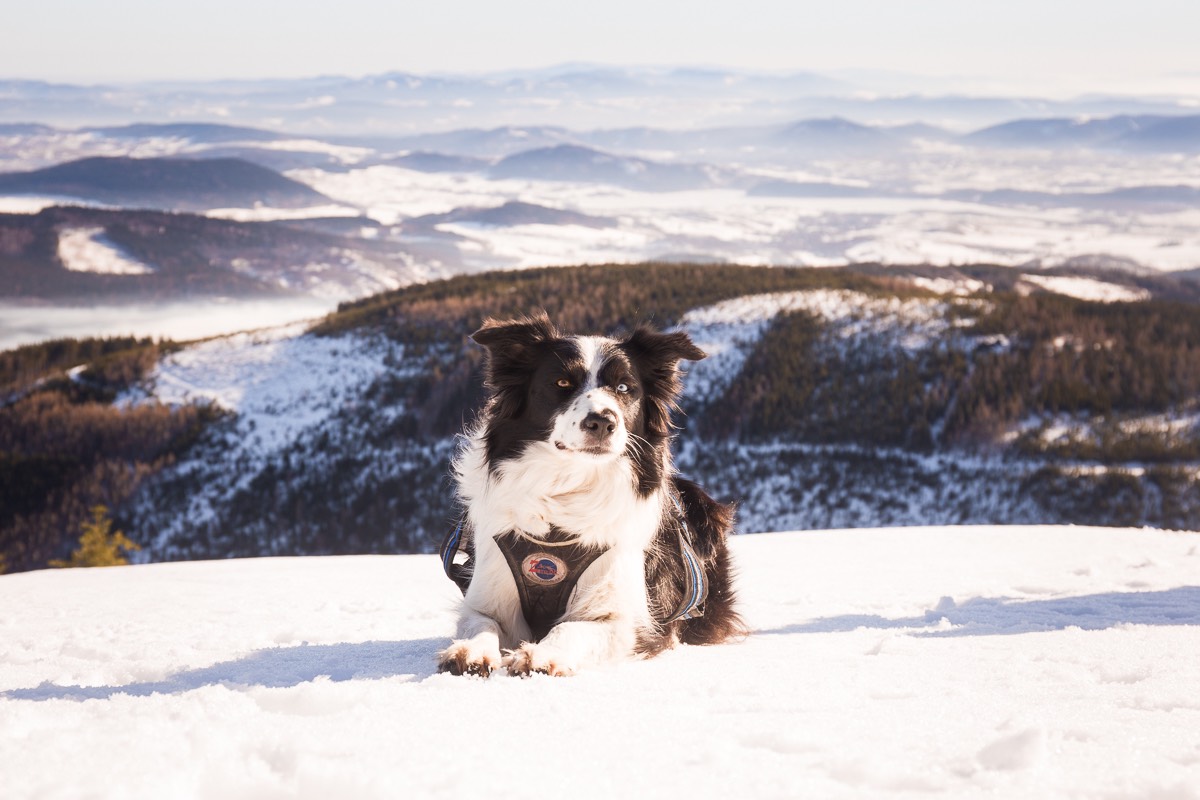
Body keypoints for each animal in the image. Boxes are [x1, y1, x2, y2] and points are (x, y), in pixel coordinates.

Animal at [436, 309, 744, 681]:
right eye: (561, 384)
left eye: (624, 387)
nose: (602, 421)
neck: (566, 494)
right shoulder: (487, 596)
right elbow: (481, 623)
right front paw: (469, 651)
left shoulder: (626, 620)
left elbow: (570, 628)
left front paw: (542, 655)